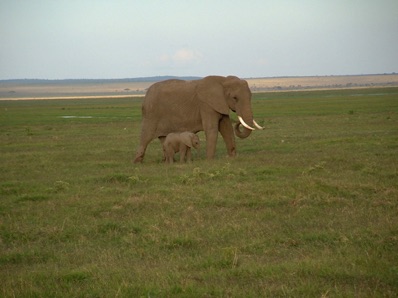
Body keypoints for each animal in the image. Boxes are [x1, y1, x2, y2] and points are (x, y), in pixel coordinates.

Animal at [134, 75, 264, 163]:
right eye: (235, 98)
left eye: (251, 96)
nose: (238, 122)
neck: (223, 80)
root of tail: (146, 95)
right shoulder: (206, 105)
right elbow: (212, 129)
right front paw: (210, 160)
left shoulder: (220, 104)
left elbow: (226, 129)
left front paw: (232, 157)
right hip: (150, 114)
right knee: (145, 137)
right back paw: (137, 162)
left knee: (163, 138)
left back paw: (169, 161)